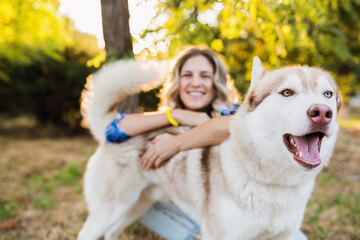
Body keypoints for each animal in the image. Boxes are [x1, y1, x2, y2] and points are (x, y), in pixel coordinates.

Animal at [78, 57, 340, 239]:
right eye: (287, 92)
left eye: (327, 94)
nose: (322, 112)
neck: (275, 184)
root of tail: (112, 130)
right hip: (110, 209)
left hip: (137, 206)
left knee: (112, 232)